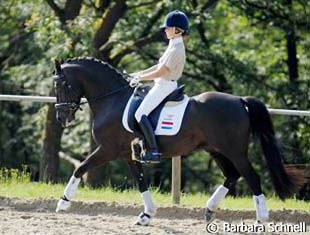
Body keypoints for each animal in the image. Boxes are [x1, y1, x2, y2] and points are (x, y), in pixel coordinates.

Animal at [52, 56, 298, 224]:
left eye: (61, 85)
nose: (62, 118)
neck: (112, 100)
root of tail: (239, 100)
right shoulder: (128, 154)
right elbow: (141, 182)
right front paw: (146, 214)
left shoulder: (108, 149)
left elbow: (81, 168)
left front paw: (63, 202)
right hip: (216, 150)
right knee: (232, 175)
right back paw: (209, 210)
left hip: (234, 151)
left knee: (251, 177)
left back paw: (261, 218)